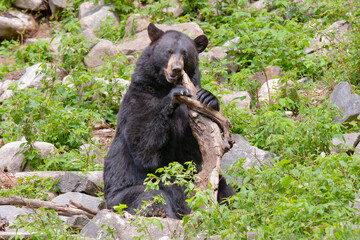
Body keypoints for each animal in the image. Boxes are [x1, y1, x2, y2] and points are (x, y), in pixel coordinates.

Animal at [102, 23, 235, 219]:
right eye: (168, 51)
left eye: (185, 54)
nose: (176, 69)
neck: (162, 87)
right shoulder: (137, 99)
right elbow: (143, 144)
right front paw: (175, 95)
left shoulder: (187, 114)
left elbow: (194, 148)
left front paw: (209, 98)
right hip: (120, 196)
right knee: (150, 195)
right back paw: (161, 211)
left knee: (224, 188)